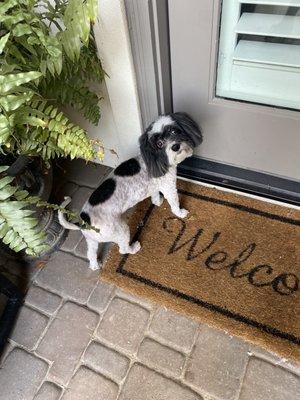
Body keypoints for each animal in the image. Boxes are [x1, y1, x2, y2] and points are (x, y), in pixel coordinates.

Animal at [57, 111, 202, 270]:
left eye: (174, 131)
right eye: (159, 144)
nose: (175, 146)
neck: (157, 160)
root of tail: (84, 221)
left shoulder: (154, 186)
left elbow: (154, 195)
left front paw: (157, 202)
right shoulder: (168, 186)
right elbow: (174, 203)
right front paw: (180, 213)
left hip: (92, 240)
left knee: (91, 254)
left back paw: (95, 265)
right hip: (121, 230)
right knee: (123, 249)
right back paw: (134, 248)